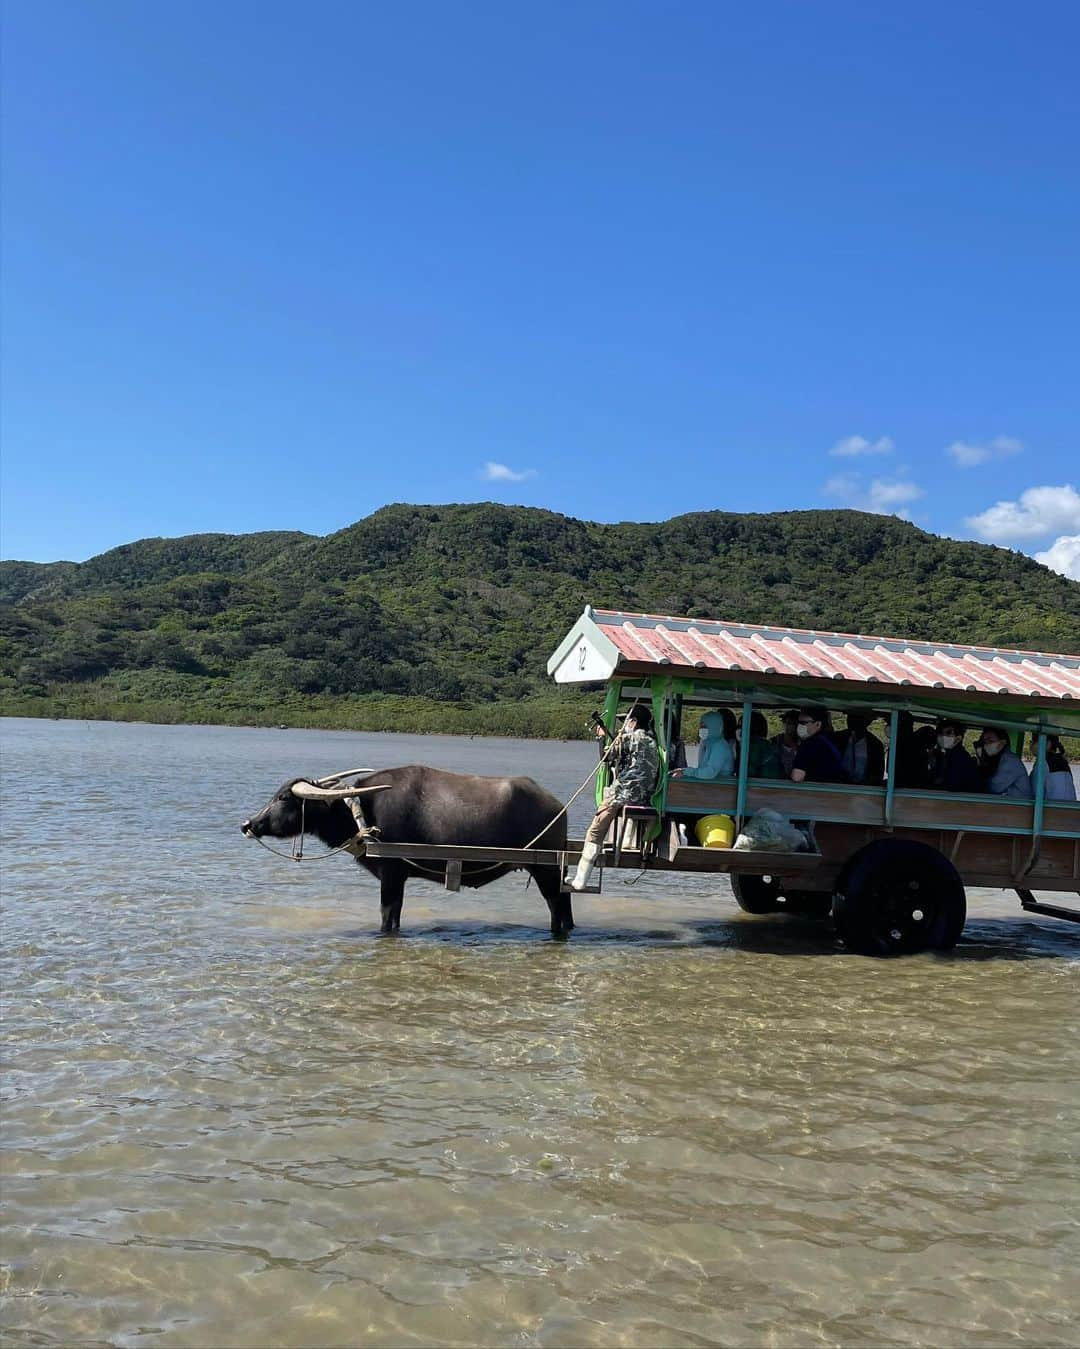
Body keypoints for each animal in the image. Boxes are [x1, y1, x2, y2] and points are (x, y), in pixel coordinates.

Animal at [237, 771, 571, 938]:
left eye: (283, 797)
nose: (248, 824)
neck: (363, 812)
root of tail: (557, 806)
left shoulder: (392, 873)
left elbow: (387, 914)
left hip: (547, 870)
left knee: (558, 906)